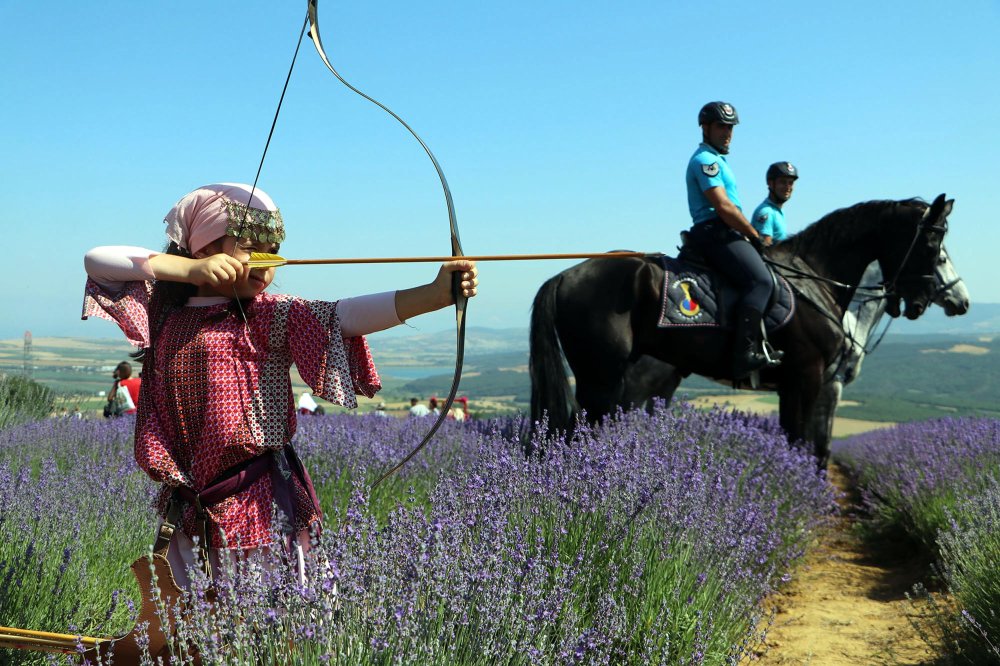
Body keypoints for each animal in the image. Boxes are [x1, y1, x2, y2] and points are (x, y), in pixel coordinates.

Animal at [528, 196, 948, 466]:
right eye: (934, 245)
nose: (924, 300)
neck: (814, 279)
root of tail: (563, 276)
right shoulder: (811, 377)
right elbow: (807, 443)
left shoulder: (791, 384)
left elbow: (795, 439)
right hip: (603, 380)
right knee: (573, 436)